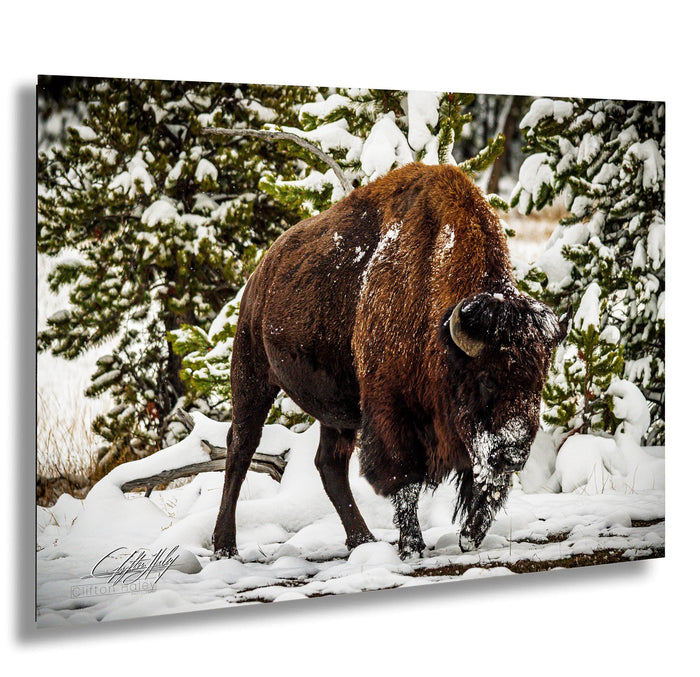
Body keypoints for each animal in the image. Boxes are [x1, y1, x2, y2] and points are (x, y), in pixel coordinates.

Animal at [213, 162, 566, 560]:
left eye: (539, 380)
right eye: (487, 379)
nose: (515, 452)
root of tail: (260, 274)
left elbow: (487, 484)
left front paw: (469, 537)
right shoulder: (391, 410)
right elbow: (404, 479)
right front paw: (412, 546)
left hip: (336, 411)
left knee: (329, 464)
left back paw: (362, 539)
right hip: (252, 377)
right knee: (240, 448)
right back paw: (225, 546)